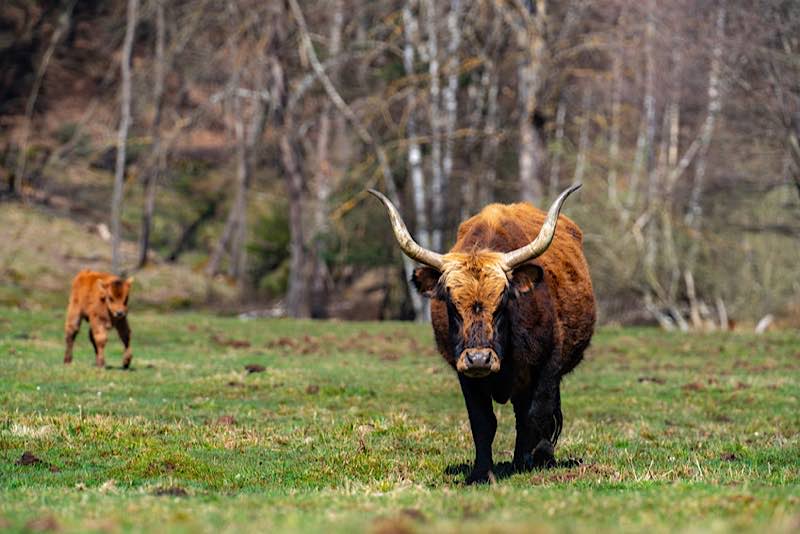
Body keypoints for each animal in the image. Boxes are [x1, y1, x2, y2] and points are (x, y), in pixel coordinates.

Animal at [368, 185, 592, 486]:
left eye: (502, 301)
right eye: (451, 304)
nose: (479, 359)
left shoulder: (547, 366)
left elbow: (536, 413)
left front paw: (529, 460)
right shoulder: (465, 374)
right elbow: (483, 422)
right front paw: (480, 472)